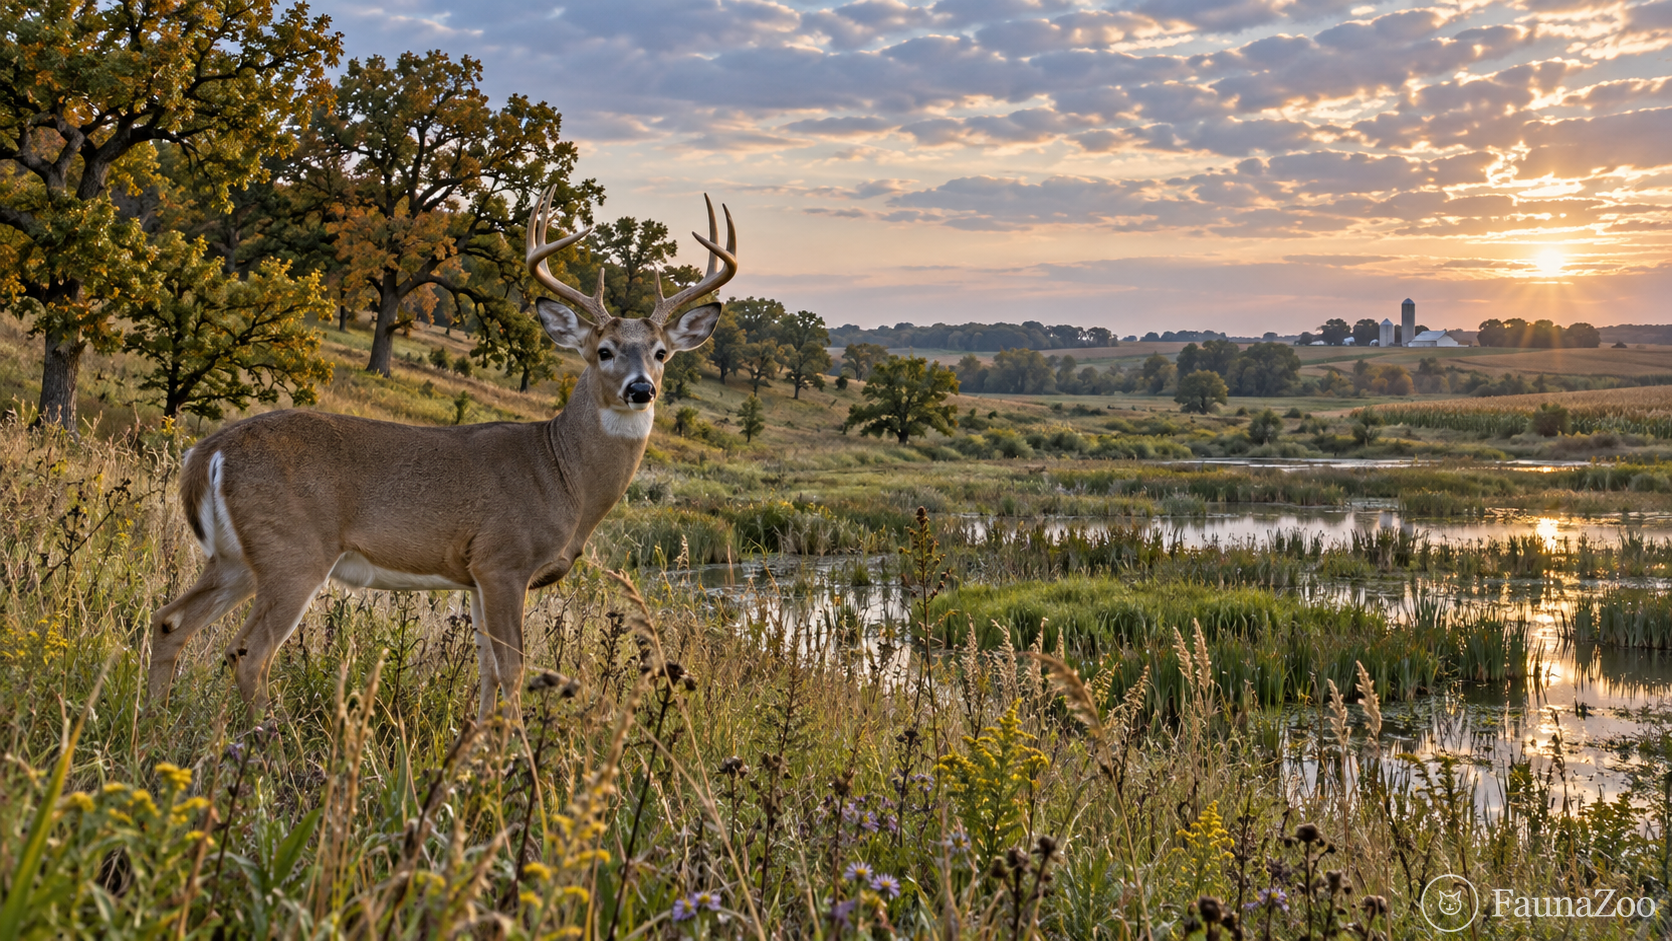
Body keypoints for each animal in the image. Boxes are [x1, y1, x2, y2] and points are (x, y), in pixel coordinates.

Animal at [145, 187, 737, 721]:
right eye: (604, 351)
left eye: (661, 353)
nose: (642, 389)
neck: (562, 475)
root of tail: (209, 450)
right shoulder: (503, 559)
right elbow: (513, 669)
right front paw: (509, 757)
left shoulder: (475, 574)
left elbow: (487, 671)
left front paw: (476, 745)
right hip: (294, 549)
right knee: (248, 653)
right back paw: (264, 742)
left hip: (237, 557)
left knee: (169, 620)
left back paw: (150, 723)